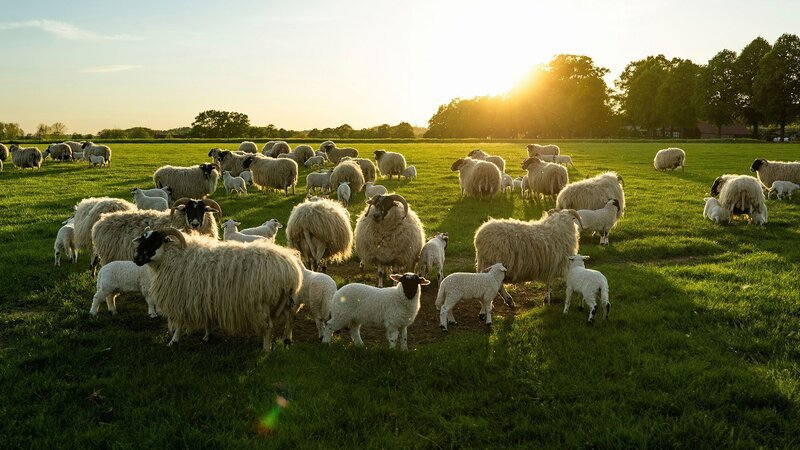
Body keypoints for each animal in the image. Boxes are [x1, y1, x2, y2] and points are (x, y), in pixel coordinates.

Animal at [132, 228, 303, 350]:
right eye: (143, 239)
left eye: (155, 241)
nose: (136, 259)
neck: (173, 257)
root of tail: (290, 269)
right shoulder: (205, 297)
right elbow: (207, 320)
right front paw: (207, 336)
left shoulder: (180, 298)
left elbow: (179, 323)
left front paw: (173, 341)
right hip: (285, 300)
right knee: (290, 318)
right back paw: (287, 339)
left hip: (262, 303)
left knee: (268, 327)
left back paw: (266, 348)